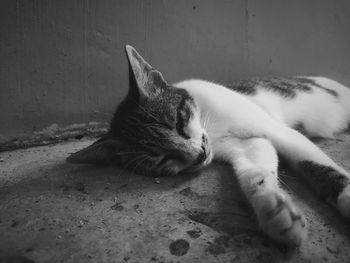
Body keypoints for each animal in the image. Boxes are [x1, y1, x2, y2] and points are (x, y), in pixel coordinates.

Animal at [65, 44, 350, 248]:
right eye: (162, 159)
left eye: (179, 122)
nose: (198, 155)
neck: (211, 126)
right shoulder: (248, 145)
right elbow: (254, 174)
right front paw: (275, 211)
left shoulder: (277, 130)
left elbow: (317, 165)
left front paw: (345, 196)